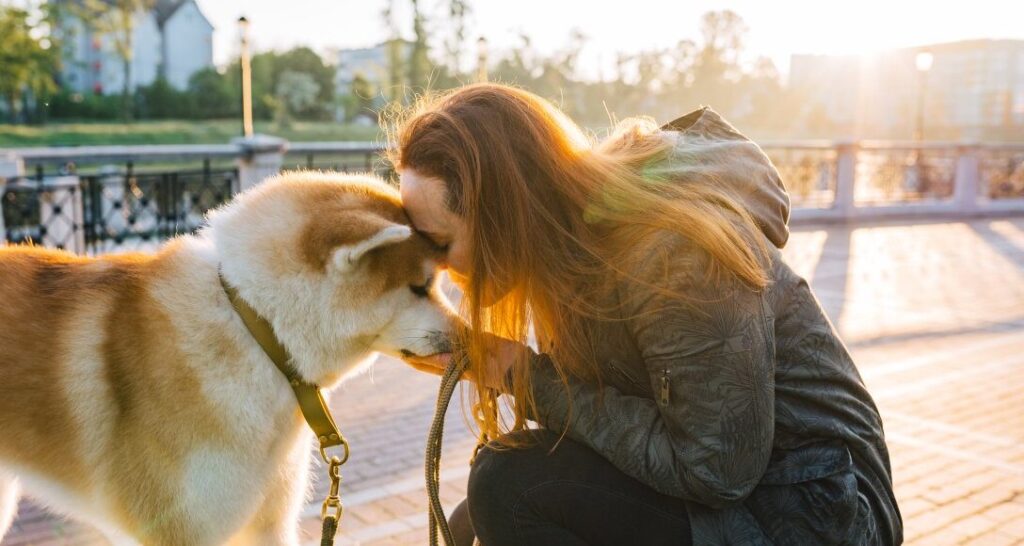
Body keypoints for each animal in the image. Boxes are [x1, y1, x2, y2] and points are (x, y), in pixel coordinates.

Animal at [0, 171, 456, 544]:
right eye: (420, 286)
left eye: (435, 283)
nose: (466, 334)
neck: (257, 330)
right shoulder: (178, 531)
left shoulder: (271, 523)